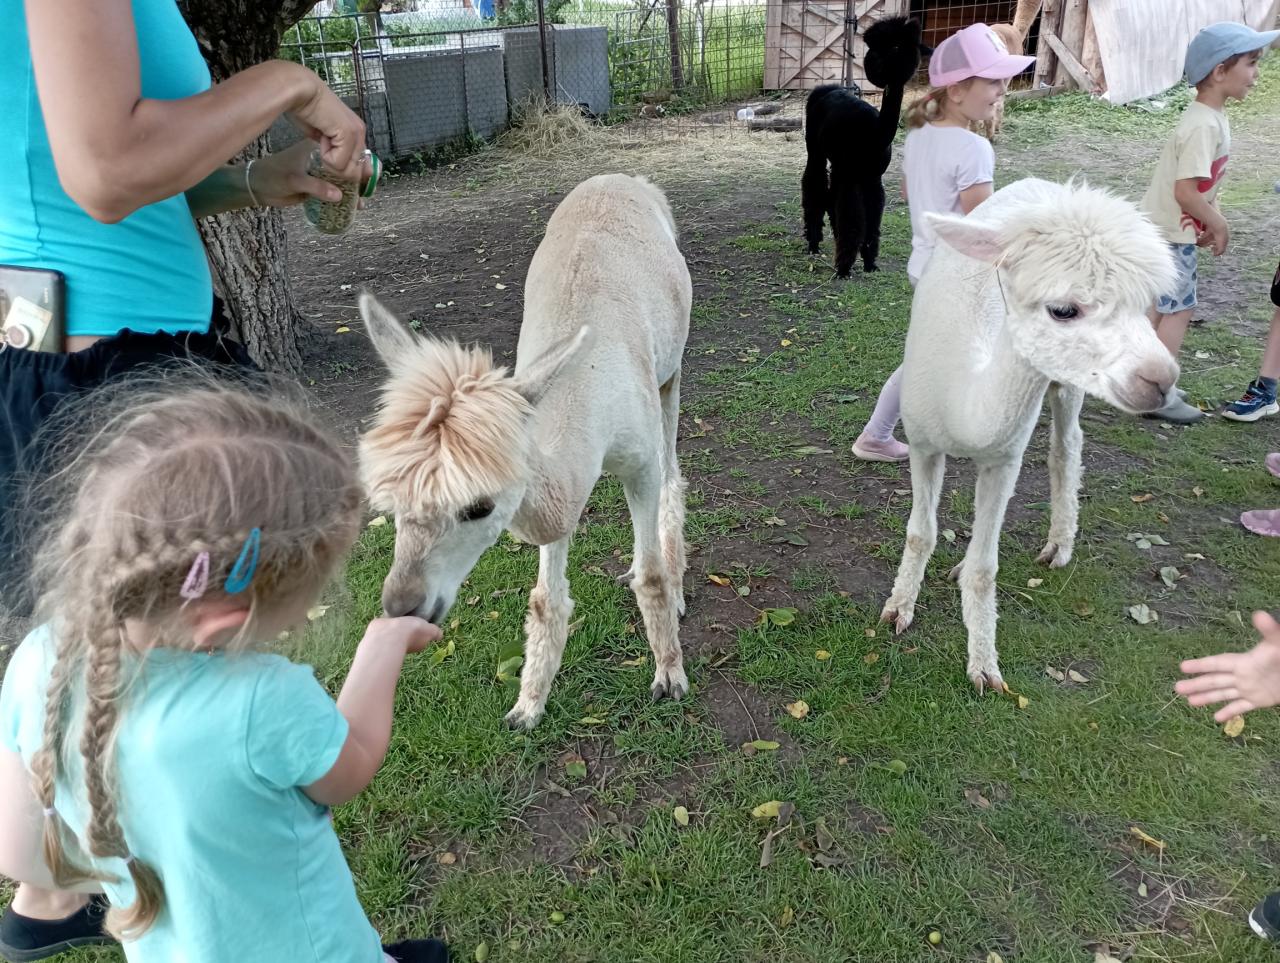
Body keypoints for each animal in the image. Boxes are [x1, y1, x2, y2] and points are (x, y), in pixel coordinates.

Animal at [359, 174, 691, 729]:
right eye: (392, 503)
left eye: (478, 506)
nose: (402, 604)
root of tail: (622, 178)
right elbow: (545, 600)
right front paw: (528, 704)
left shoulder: (637, 459)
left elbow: (651, 573)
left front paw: (669, 675)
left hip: (671, 373)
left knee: (673, 470)